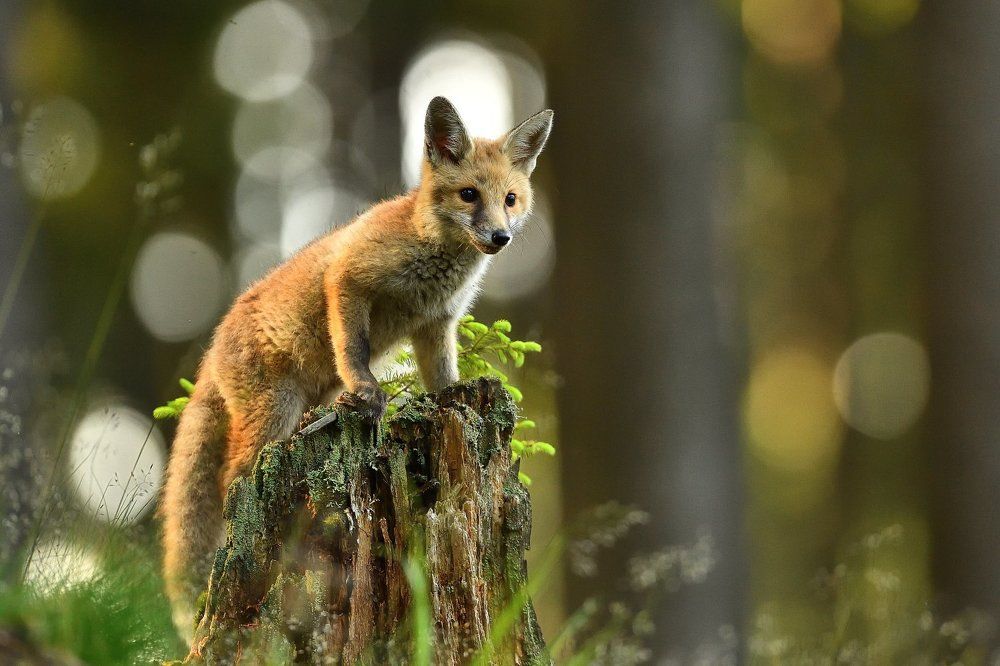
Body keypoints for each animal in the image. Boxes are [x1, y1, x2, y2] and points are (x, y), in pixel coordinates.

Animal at [160, 96, 553, 642]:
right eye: (469, 195)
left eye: (511, 199)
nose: (499, 237)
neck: (431, 260)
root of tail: (210, 354)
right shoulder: (348, 280)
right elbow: (354, 350)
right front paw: (370, 393)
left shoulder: (436, 325)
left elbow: (443, 380)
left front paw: (452, 397)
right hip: (272, 415)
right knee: (230, 481)